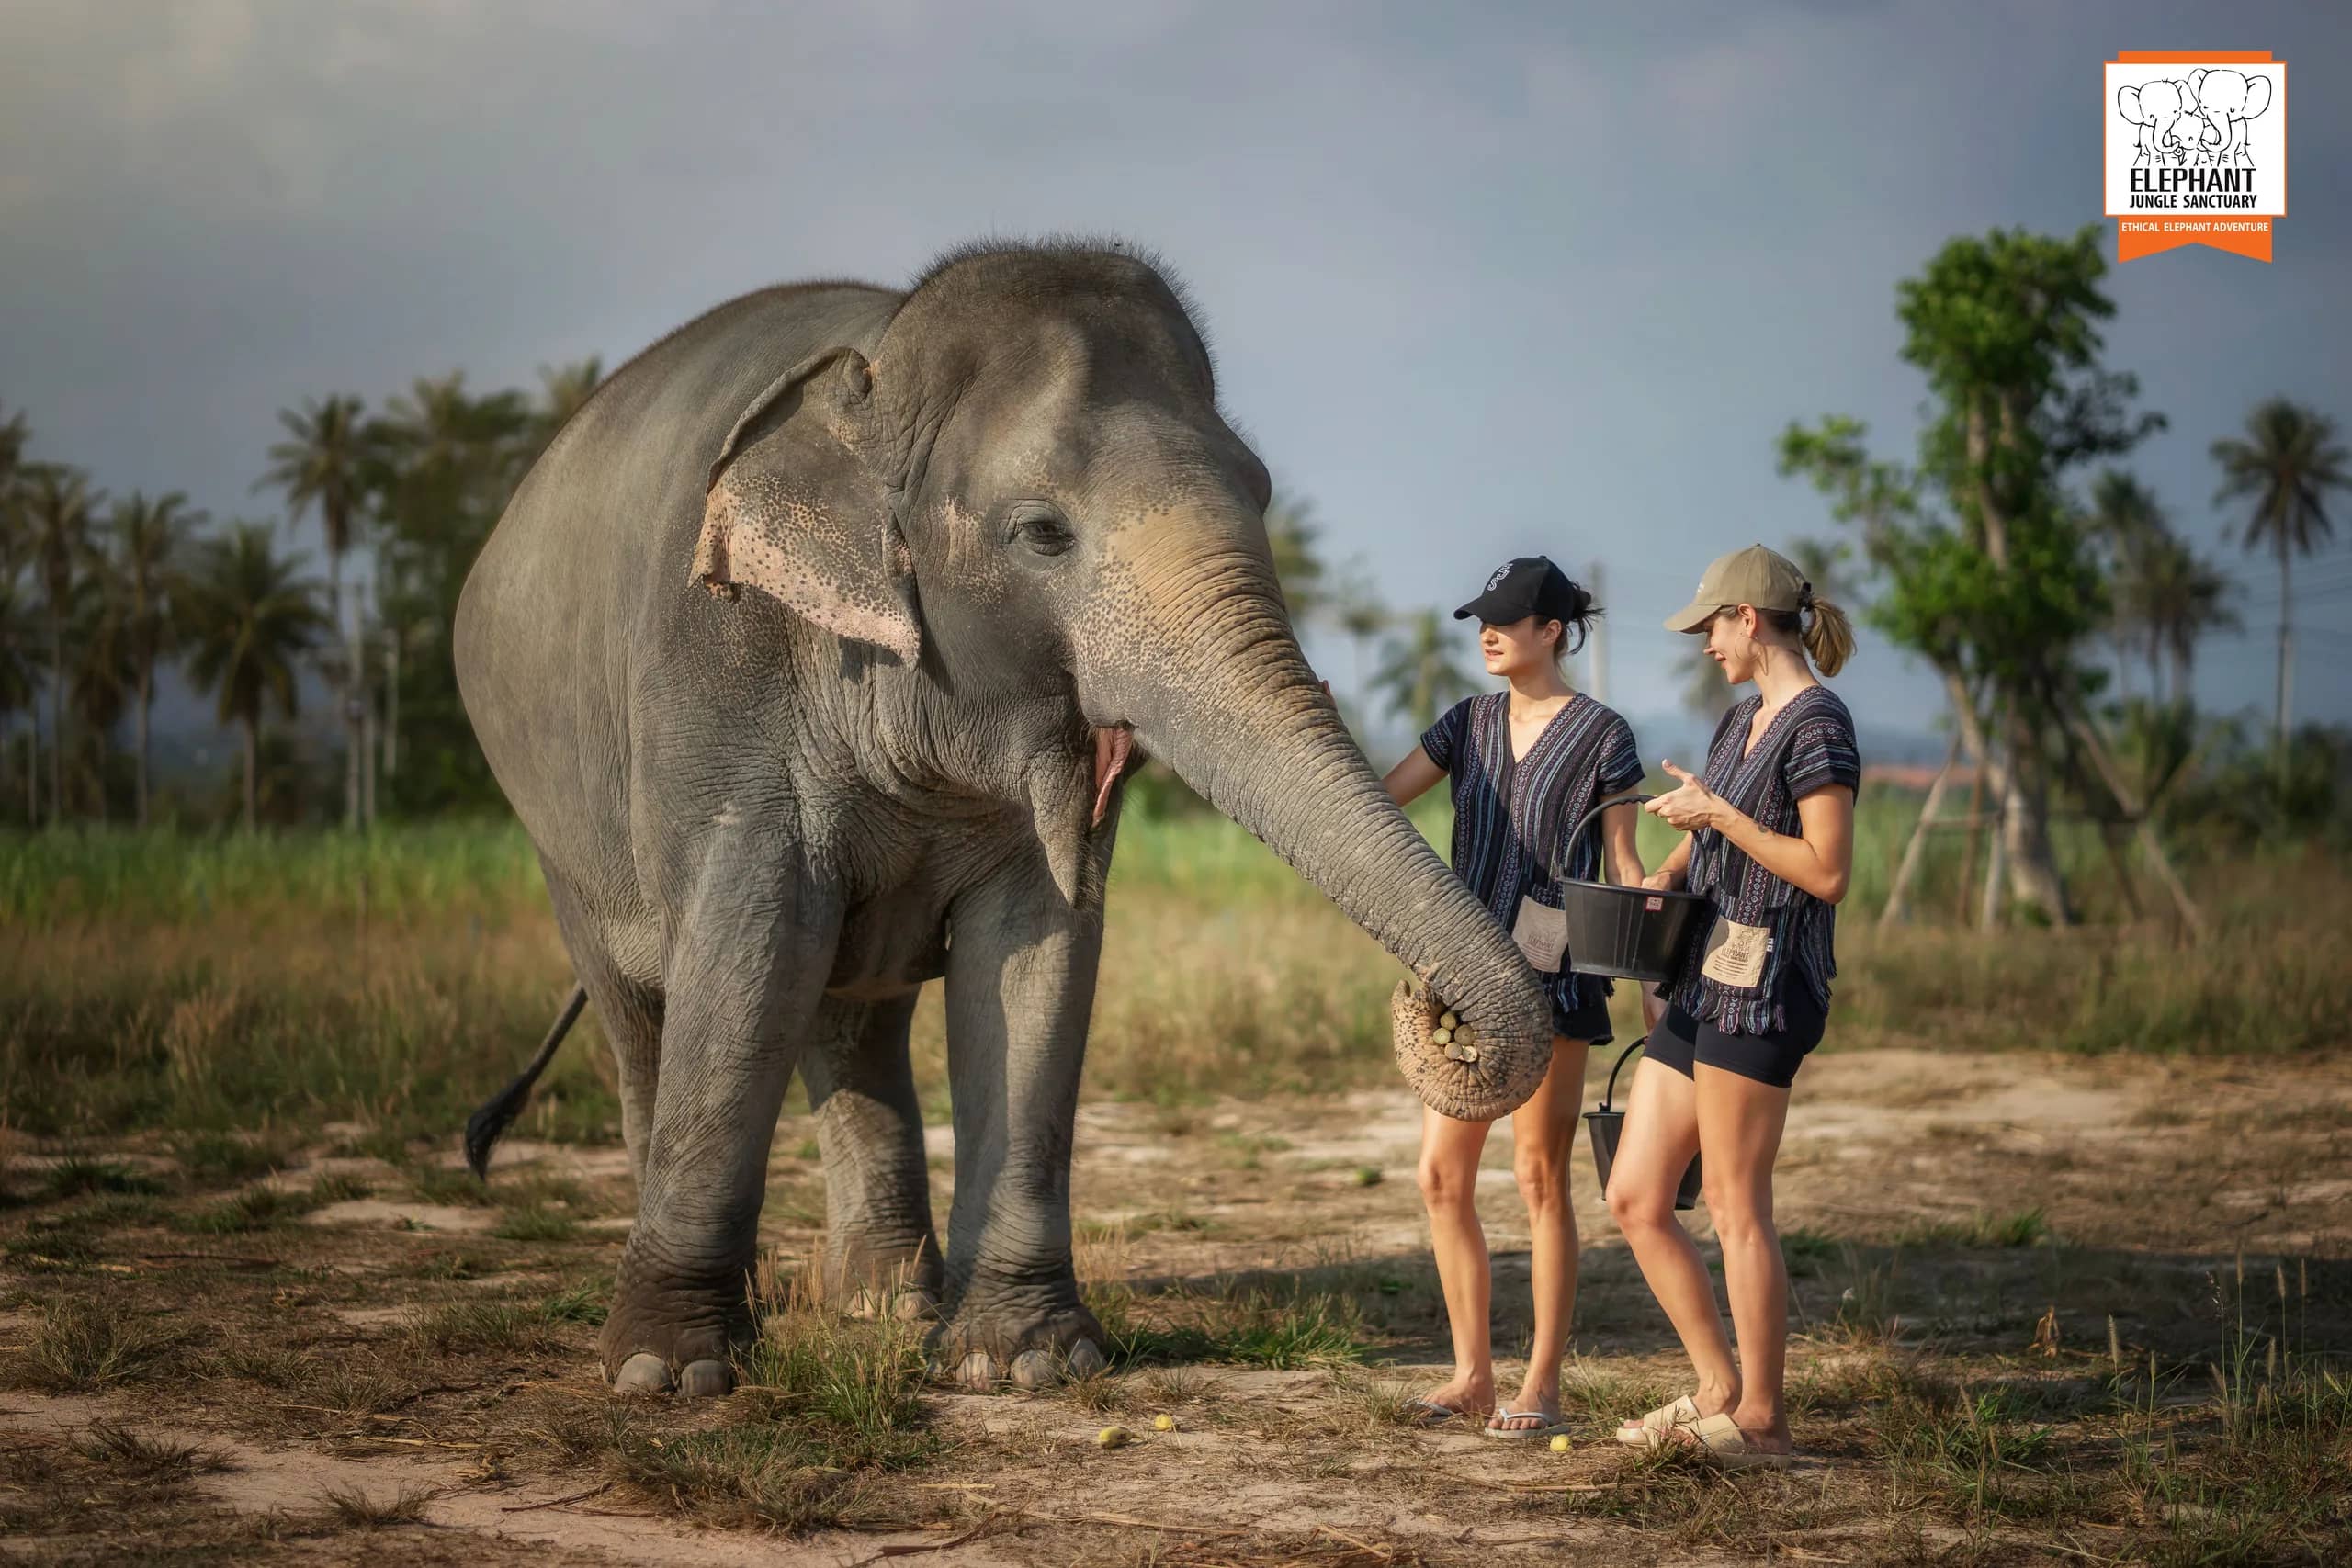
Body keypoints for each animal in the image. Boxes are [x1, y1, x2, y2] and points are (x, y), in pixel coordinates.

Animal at [451, 241, 1555, 1397]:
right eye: (1040, 534)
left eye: (1259, 490)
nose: (1440, 1008)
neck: (878, 369)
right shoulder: (717, 678)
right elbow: (749, 953)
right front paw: (671, 1376)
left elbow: (1035, 956)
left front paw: (1024, 1363)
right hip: (557, 827)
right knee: (648, 1017)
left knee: (849, 1014)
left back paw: (887, 1306)